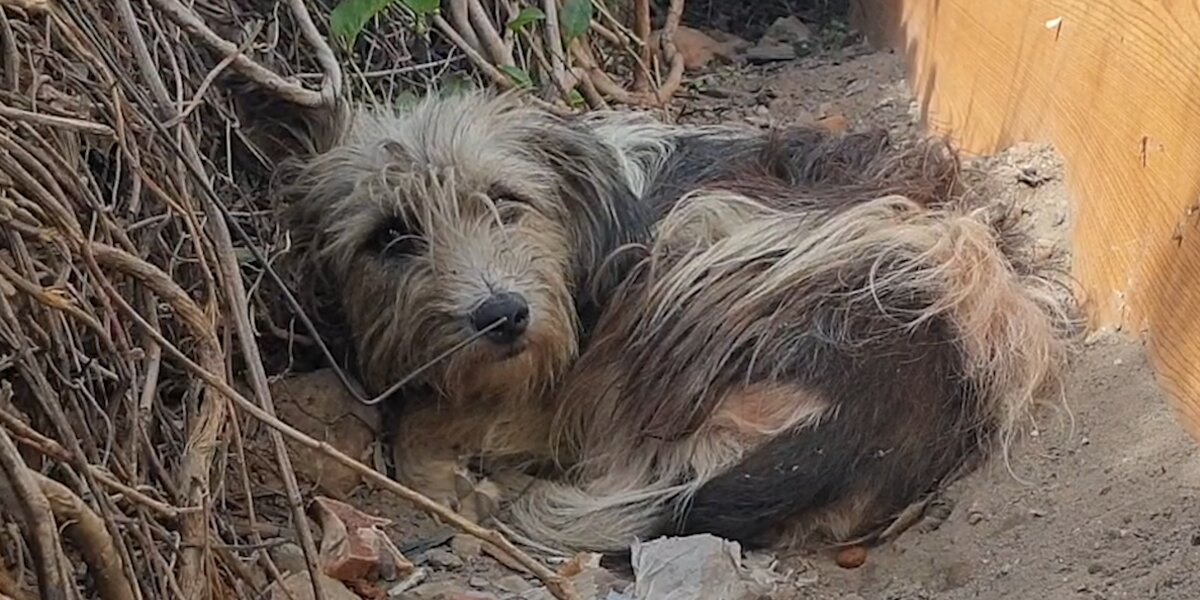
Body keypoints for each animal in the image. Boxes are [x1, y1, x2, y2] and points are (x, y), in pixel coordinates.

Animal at [243, 87, 1080, 552]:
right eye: (390, 236)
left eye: (507, 201)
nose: (501, 316)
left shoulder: (563, 374)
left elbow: (426, 422)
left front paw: (440, 463)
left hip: (702, 243)